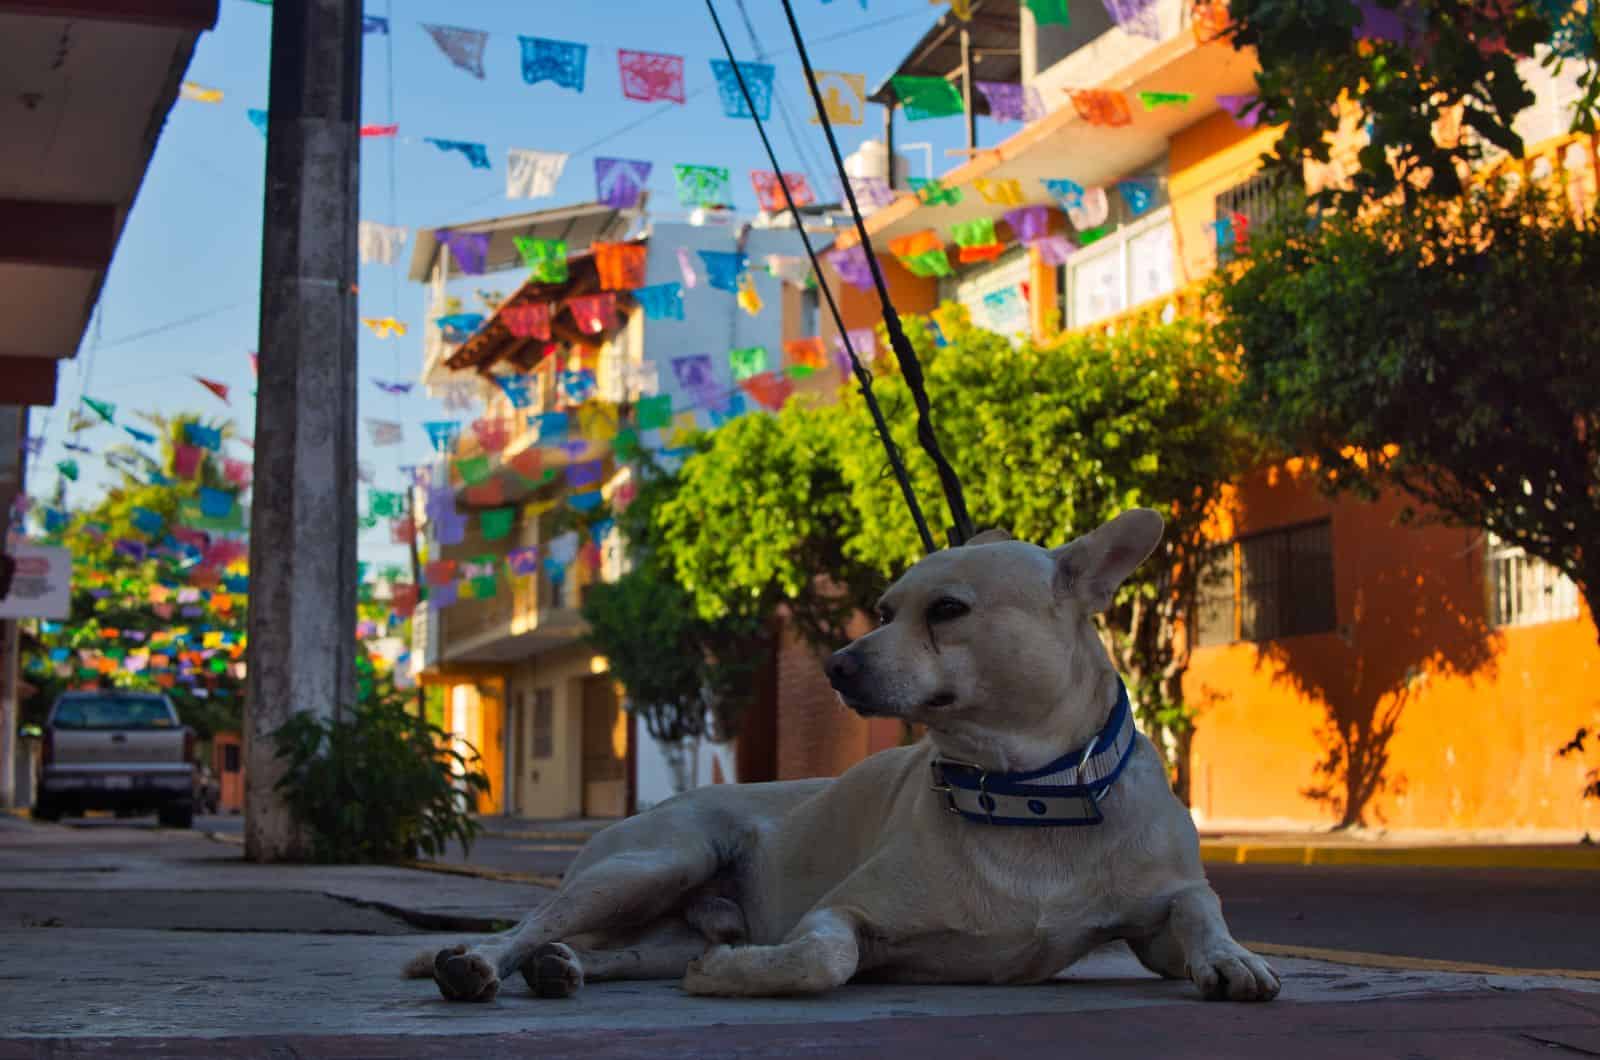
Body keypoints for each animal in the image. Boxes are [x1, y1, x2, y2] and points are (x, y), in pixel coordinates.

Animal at [406, 512, 1280, 1011]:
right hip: (654, 862)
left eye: (947, 611)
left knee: (606, 951)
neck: (1026, 794)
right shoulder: (840, 913)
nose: (835, 665)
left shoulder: (1162, 916)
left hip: (660, 925)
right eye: (884, 609)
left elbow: (1200, 911)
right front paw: (737, 975)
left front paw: (1234, 956)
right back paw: (476, 964)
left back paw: (560, 968)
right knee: (530, 924)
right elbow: (825, 958)